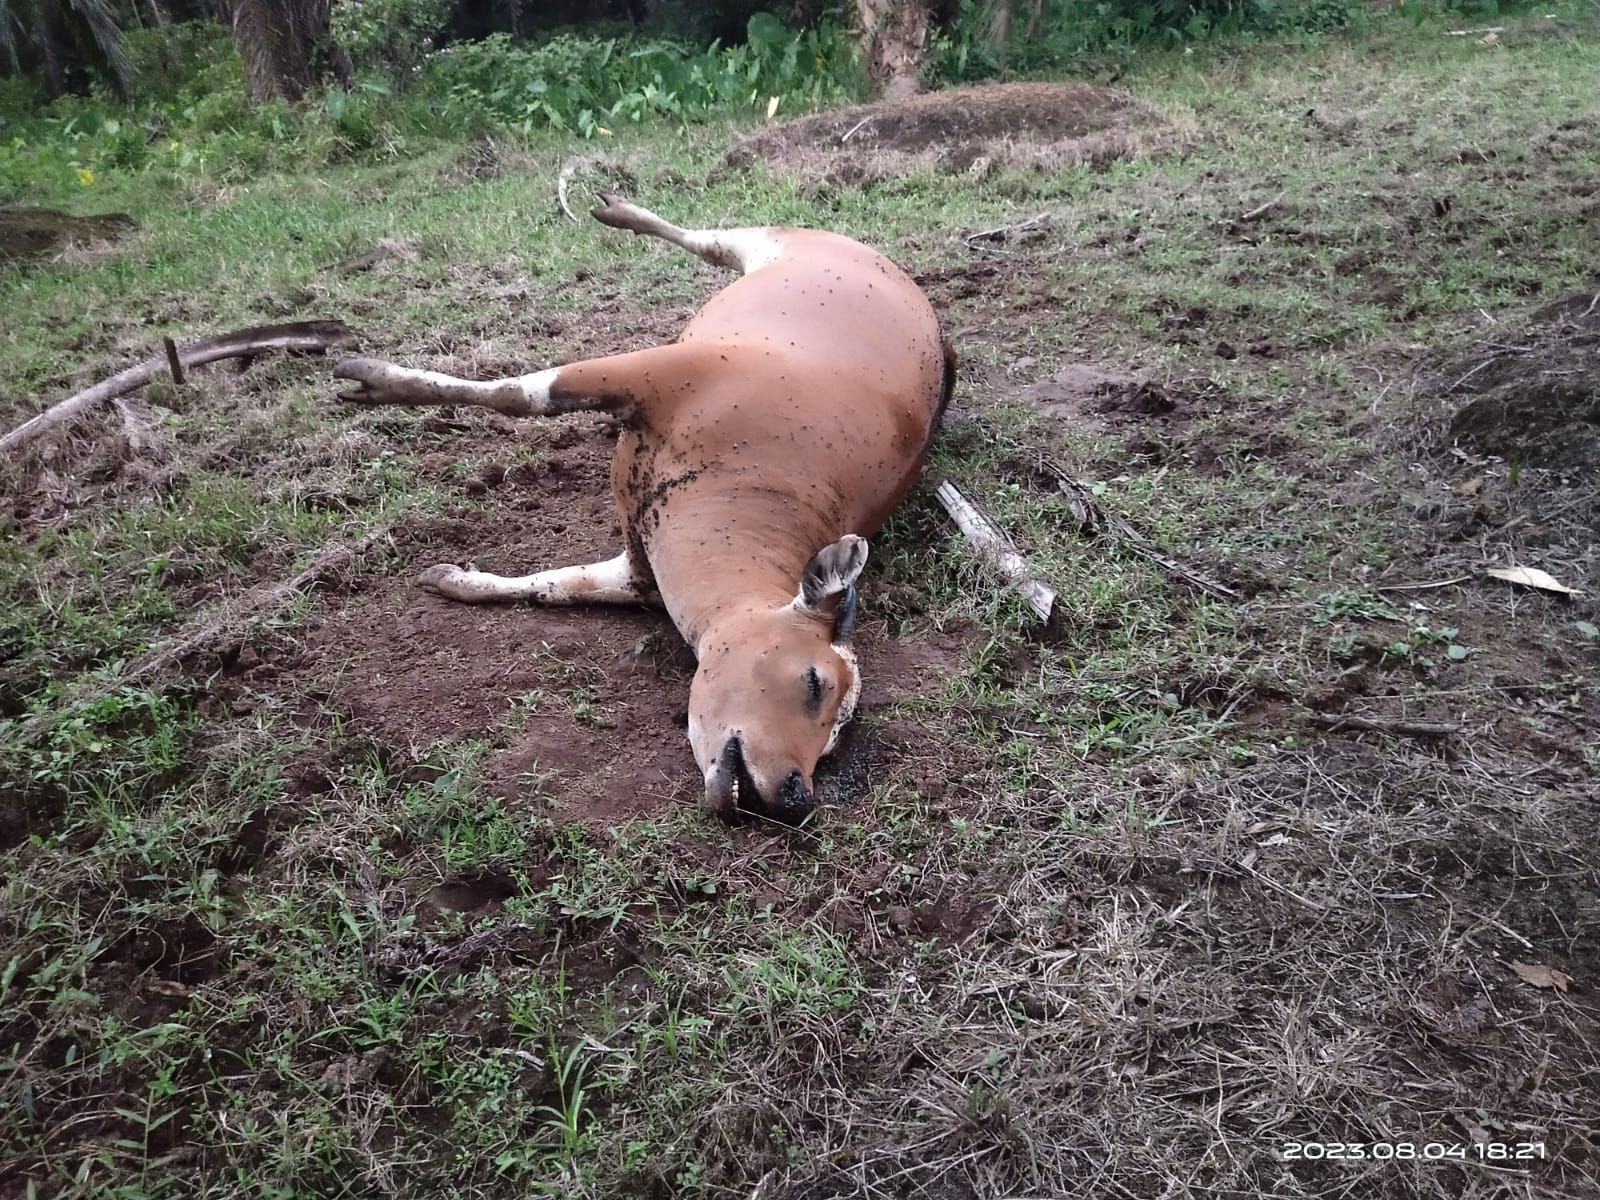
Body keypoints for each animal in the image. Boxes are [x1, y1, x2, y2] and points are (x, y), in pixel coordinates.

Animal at [336, 192, 947, 825]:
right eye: (814, 681)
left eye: (834, 741)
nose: (795, 796)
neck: (751, 479)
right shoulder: (656, 373)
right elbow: (521, 393)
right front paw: (376, 380)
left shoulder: (639, 570)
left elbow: (557, 584)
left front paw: (452, 578)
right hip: (774, 240)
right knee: (708, 238)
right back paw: (618, 208)